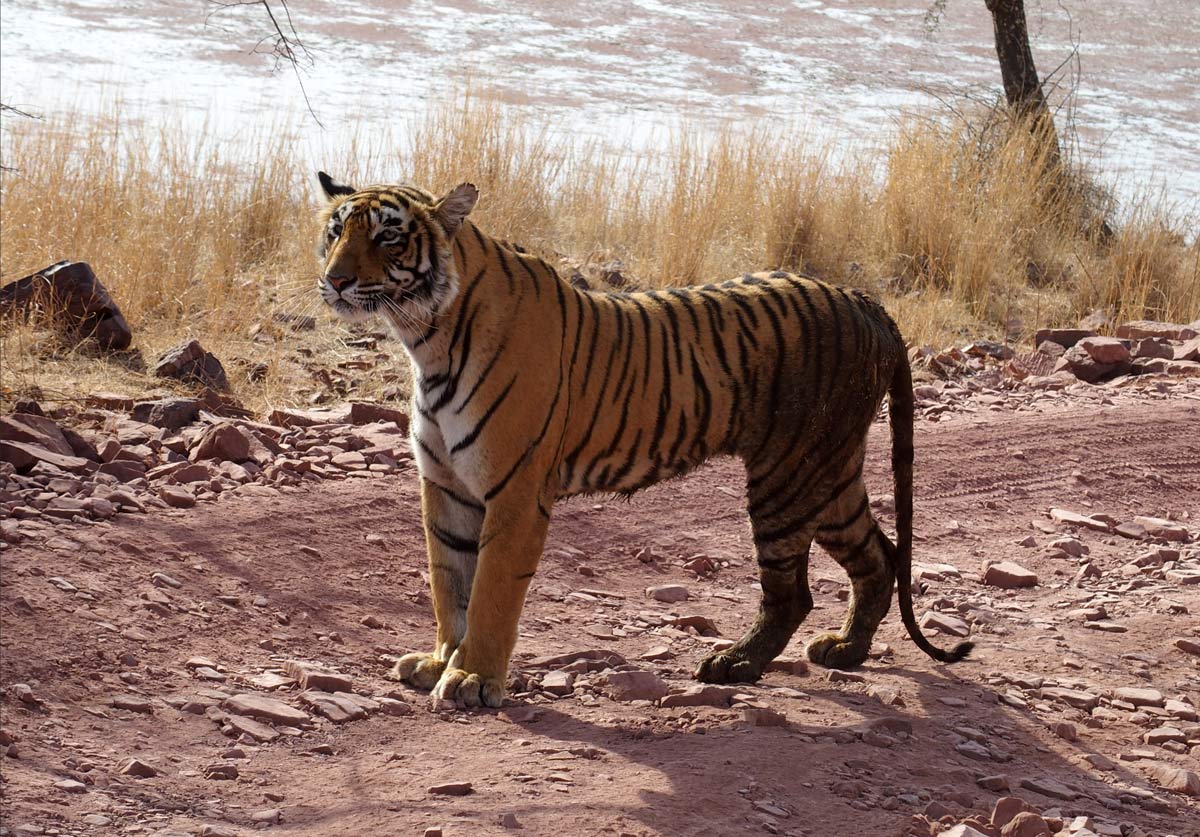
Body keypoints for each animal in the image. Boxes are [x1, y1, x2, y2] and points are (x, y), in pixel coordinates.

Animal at [314, 171, 972, 708]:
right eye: (336, 232)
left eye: (389, 238)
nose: (335, 281)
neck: (425, 337)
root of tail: (867, 302)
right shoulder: (448, 485)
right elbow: (448, 583)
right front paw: (439, 662)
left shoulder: (515, 492)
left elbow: (489, 593)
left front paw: (474, 681)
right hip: (826, 474)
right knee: (879, 554)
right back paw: (845, 650)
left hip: (788, 476)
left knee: (792, 593)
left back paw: (735, 664)